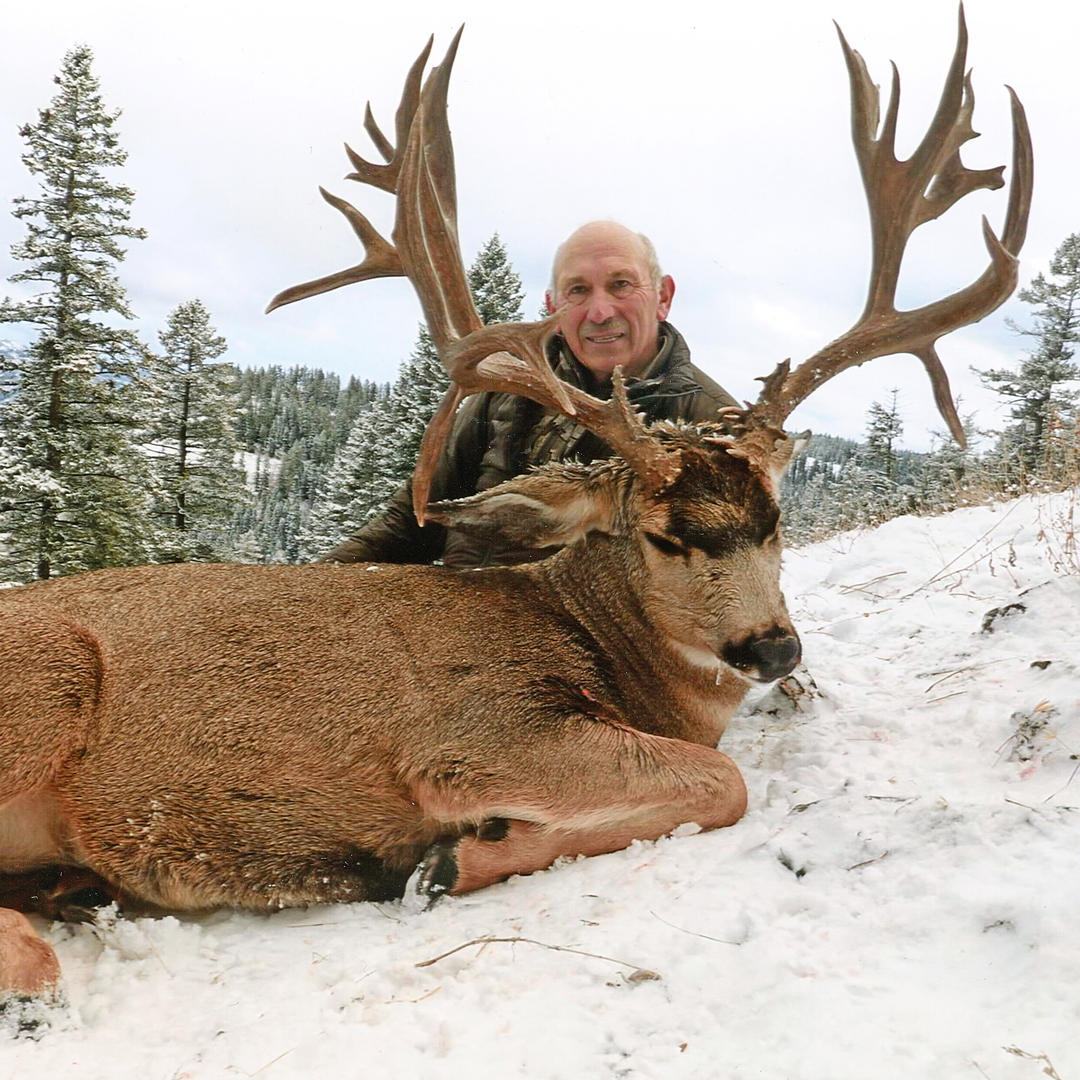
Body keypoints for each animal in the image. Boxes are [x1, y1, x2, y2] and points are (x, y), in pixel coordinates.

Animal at [0, 8, 1030, 1023]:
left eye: (776, 519)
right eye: (663, 533)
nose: (773, 647)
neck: (614, 656)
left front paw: (454, 856)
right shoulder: (480, 731)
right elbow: (723, 781)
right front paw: (447, 860)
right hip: (47, 679)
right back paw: (39, 967)